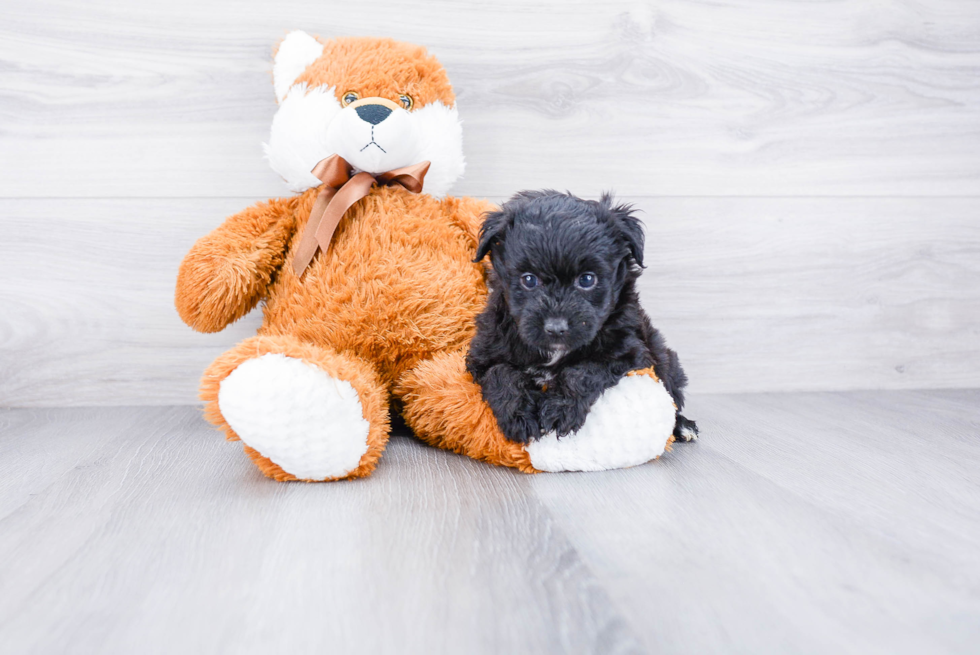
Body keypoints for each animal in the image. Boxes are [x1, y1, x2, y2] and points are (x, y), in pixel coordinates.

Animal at [466, 190, 696, 446]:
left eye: (587, 280)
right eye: (529, 280)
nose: (556, 328)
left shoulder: (628, 352)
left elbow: (583, 371)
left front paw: (559, 409)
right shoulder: (484, 354)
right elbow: (502, 374)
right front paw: (521, 416)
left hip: (666, 359)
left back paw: (683, 426)